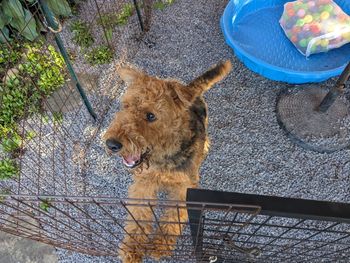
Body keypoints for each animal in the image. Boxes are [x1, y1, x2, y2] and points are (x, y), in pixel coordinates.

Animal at [104, 60, 232, 262]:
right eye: (125, 106)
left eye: (151, 115)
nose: (112, 144)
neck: (163, 157)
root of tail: (190, 88)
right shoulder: (144, 184)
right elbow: (140, 215)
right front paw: (132, 248)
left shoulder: (183, 188)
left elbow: (173, 216)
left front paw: (159, 245)